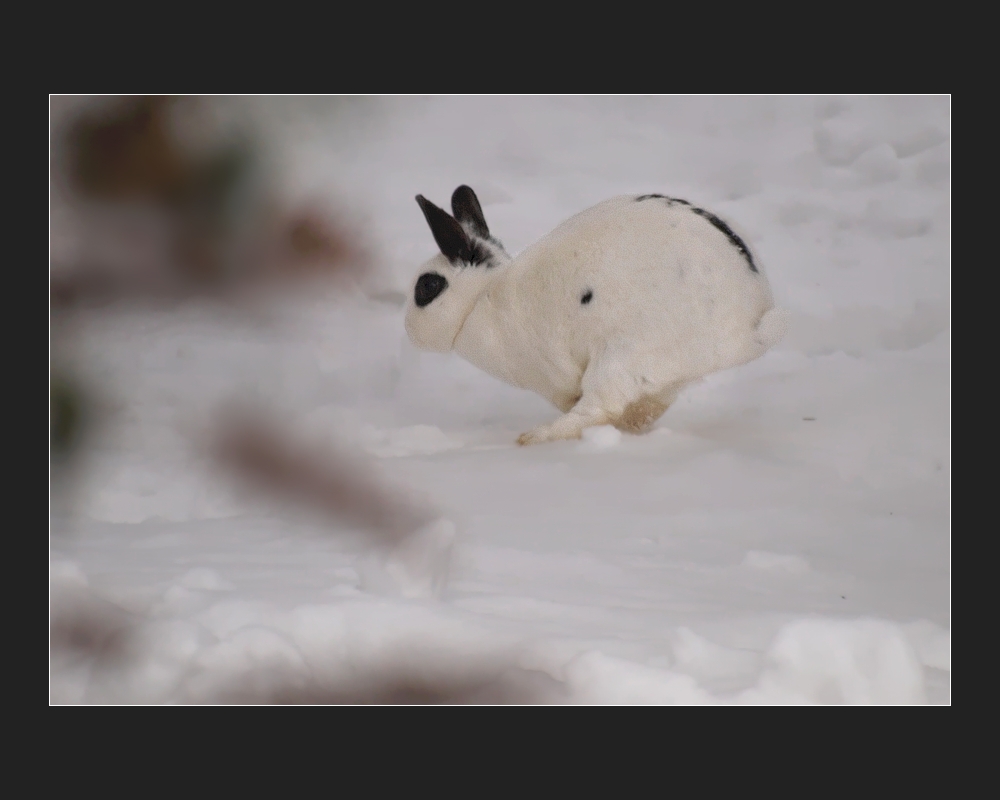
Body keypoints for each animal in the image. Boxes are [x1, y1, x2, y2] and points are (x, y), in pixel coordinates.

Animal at [402, 189, 784, 450]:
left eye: (427, 286)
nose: (407, 330)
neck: (481, 296)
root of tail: (749, 325)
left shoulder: (552, 374)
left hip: (621, 356)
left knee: (599, 407)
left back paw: (533, 437)